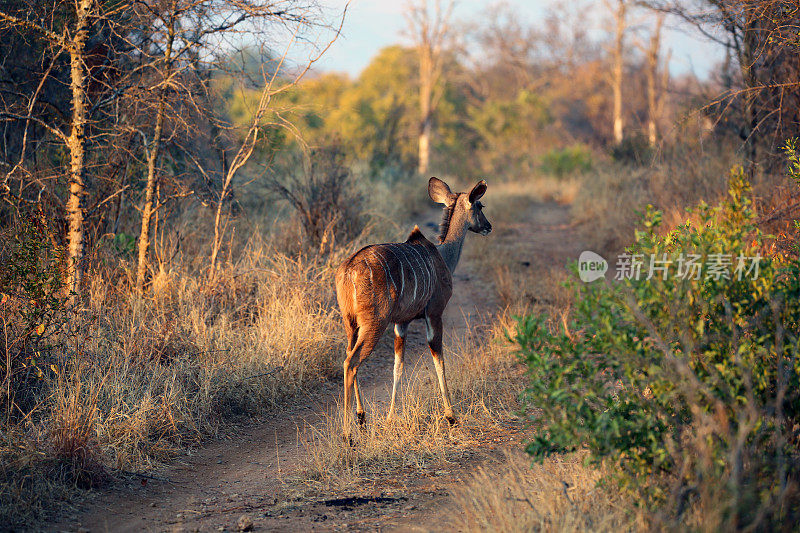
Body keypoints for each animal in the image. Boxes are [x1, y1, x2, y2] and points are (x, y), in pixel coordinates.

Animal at [334, 177, 490, 434]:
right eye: (480, 205)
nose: (488, 227)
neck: (442, 255)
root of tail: (347, 270)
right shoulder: (434, 313)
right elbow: (439, 360)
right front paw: (451, 416)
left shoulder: (402, 323)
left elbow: (398, 366)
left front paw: (389, 417)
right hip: (374, 323)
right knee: (351, 362)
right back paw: (348, 432)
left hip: (351, 324)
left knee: (348, 354)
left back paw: (362, 416)